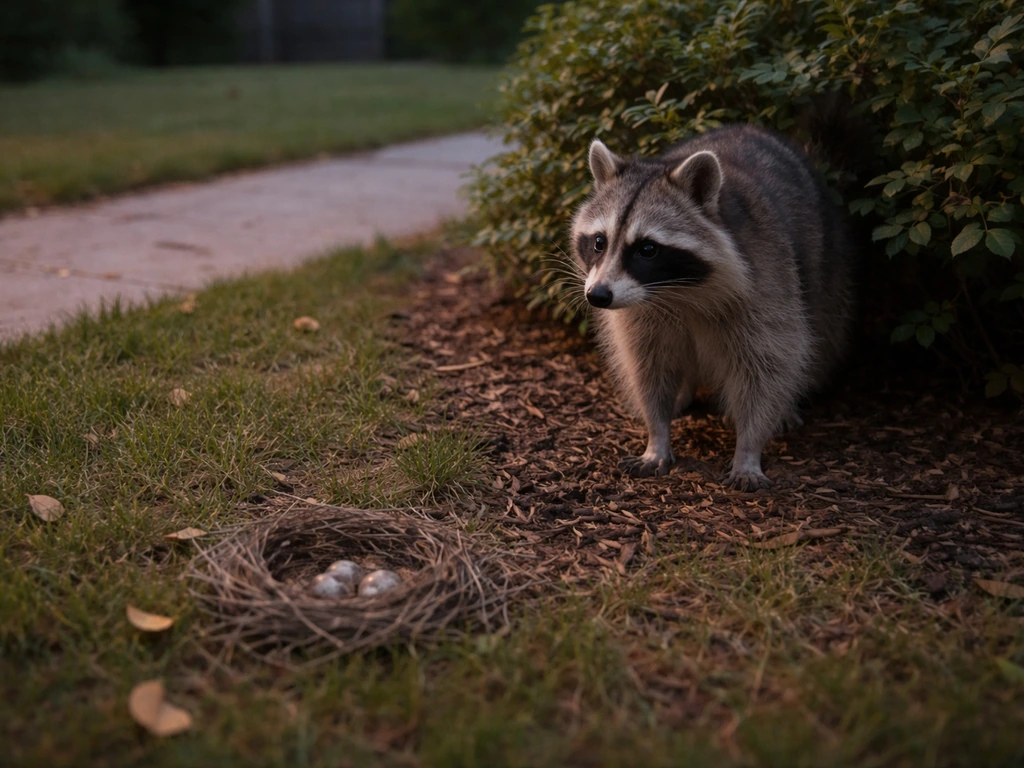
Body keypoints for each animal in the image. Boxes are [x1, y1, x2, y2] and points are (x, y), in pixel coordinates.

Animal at [571, 124, 854, 490]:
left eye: (647, 249)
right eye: (598, 242)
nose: (598, 296)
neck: (677, 293)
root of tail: (749, 128)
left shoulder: (767, 285)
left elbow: (766, 368)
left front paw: (748, 449)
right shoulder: (640, 314)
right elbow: (647, 368)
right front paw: (656, 434)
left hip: (826, 265)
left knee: (815, 341)